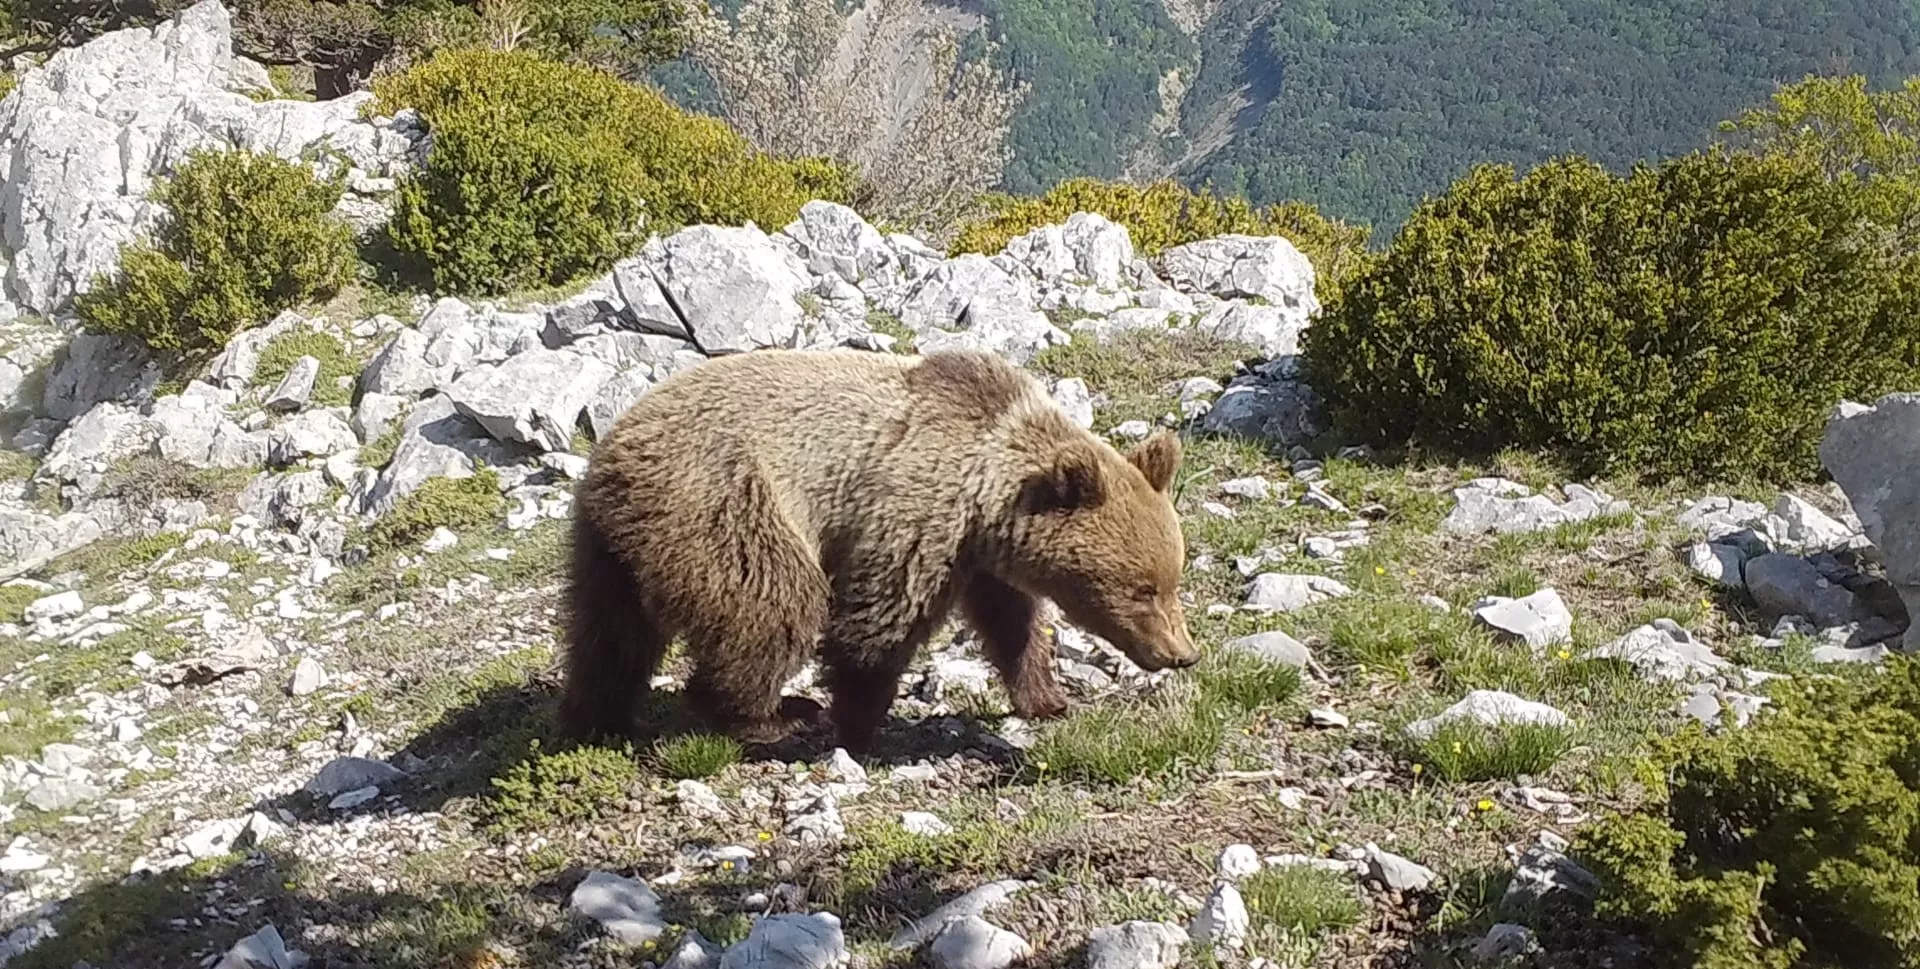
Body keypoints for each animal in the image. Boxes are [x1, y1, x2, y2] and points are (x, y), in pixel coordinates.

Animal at [559, 346, 1198, 753]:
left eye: (1172, 581)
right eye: (1142, 590)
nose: (1181, 654)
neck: (987, 486)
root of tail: (613, 455)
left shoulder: (979, 552)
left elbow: (1011, 622)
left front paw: (1047, 697)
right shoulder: (915, 515)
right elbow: (880, 623)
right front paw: (860, 726)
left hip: (609, 547)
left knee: (608, 637)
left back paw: (600, 721)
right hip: (728, 505)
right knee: (771, 606)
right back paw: (772, 716)